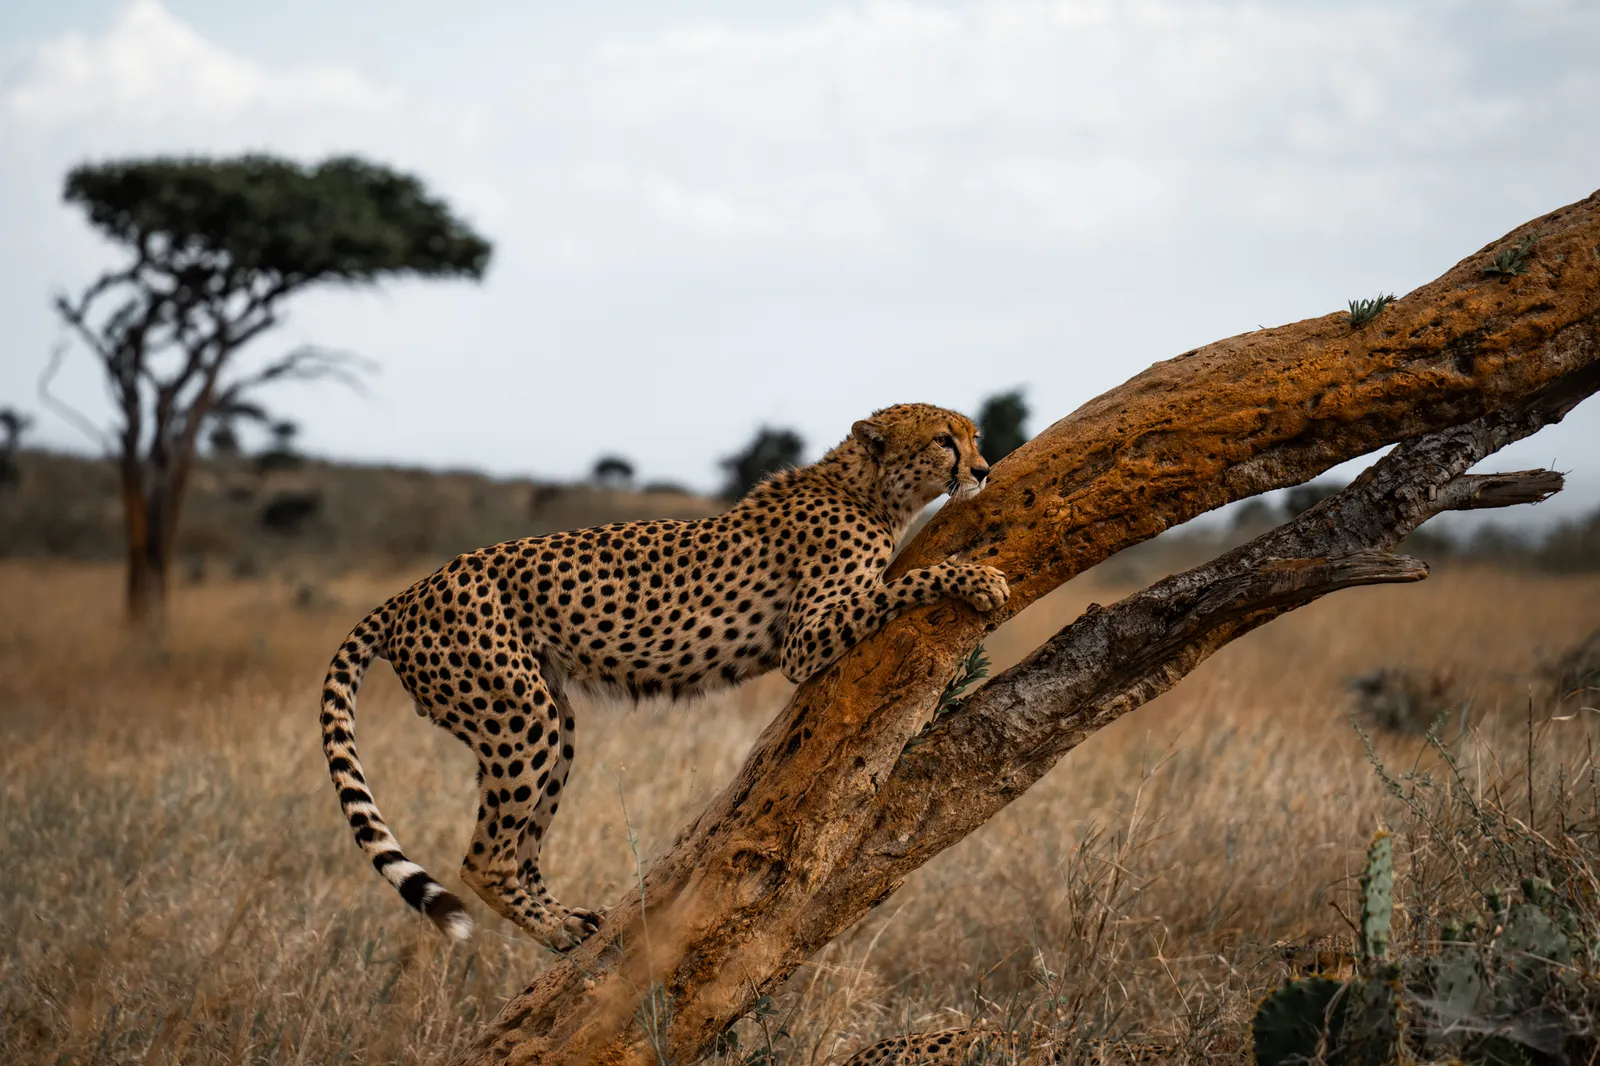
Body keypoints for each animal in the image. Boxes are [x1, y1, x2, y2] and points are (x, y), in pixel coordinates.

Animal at [319, 403, 1010, 948]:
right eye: (945, 439)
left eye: (973, 435)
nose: (982, 470)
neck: (868, 490)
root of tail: (411, 591)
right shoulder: (804, 640)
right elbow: (905, 581)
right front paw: (977, 578)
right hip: (519, 716)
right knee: (484, 858)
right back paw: (554, 929)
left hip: (553, 721)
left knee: (524, 848)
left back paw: (569, 923)